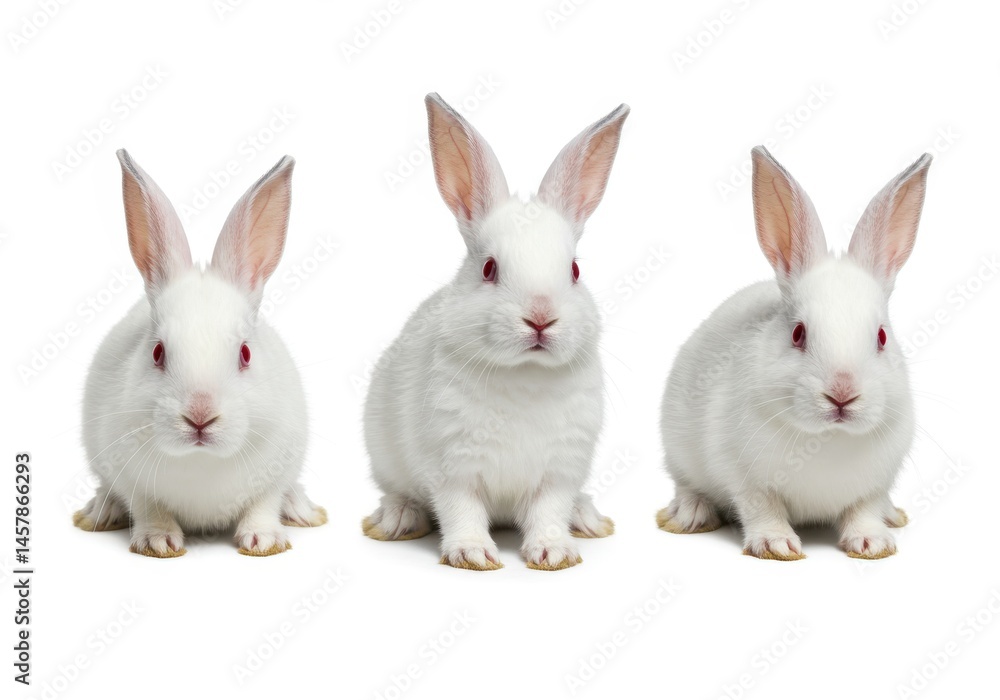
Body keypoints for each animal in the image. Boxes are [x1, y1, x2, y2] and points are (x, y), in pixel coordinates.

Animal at [73, 149, 325, 558]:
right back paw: (101, 511)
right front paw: (158, 541)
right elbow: (146, 506)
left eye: (245, 353)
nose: (200, 417)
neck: (201, 459)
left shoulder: (279, 465)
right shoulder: (127, 473)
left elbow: (264, 502)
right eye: (157, 352)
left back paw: (301, 508)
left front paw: (263, 540)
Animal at [362, 94, 629, 571]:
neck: (525, 375)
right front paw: (472, 554)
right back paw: (397, 518)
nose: (540, 318)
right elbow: (461, 510)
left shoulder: (559, 472)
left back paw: (587, 518)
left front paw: (553, 552)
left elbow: (549, 511)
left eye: (574, 271)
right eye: (489, 268)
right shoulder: (452, 468)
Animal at [658, 146, 932, 561]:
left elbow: (864, 509)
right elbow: (762, 508)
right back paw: (690, 513)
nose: (841, 394)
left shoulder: (876, 483)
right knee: (686, 483)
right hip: (677, 448)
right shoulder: (744, 475)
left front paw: (872, 543)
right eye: (798, 333)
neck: (827, 438)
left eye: (882, 337)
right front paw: (776, 545)